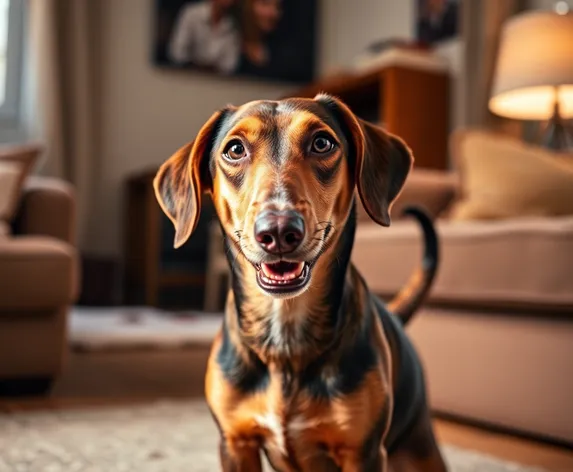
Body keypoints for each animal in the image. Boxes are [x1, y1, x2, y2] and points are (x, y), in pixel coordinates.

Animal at [153, 93, 446, 472]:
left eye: (322, 143)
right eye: (234, 149)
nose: (278, 231)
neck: (285, 336)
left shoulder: (362, 452)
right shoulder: (236, 443)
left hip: (421, 447)